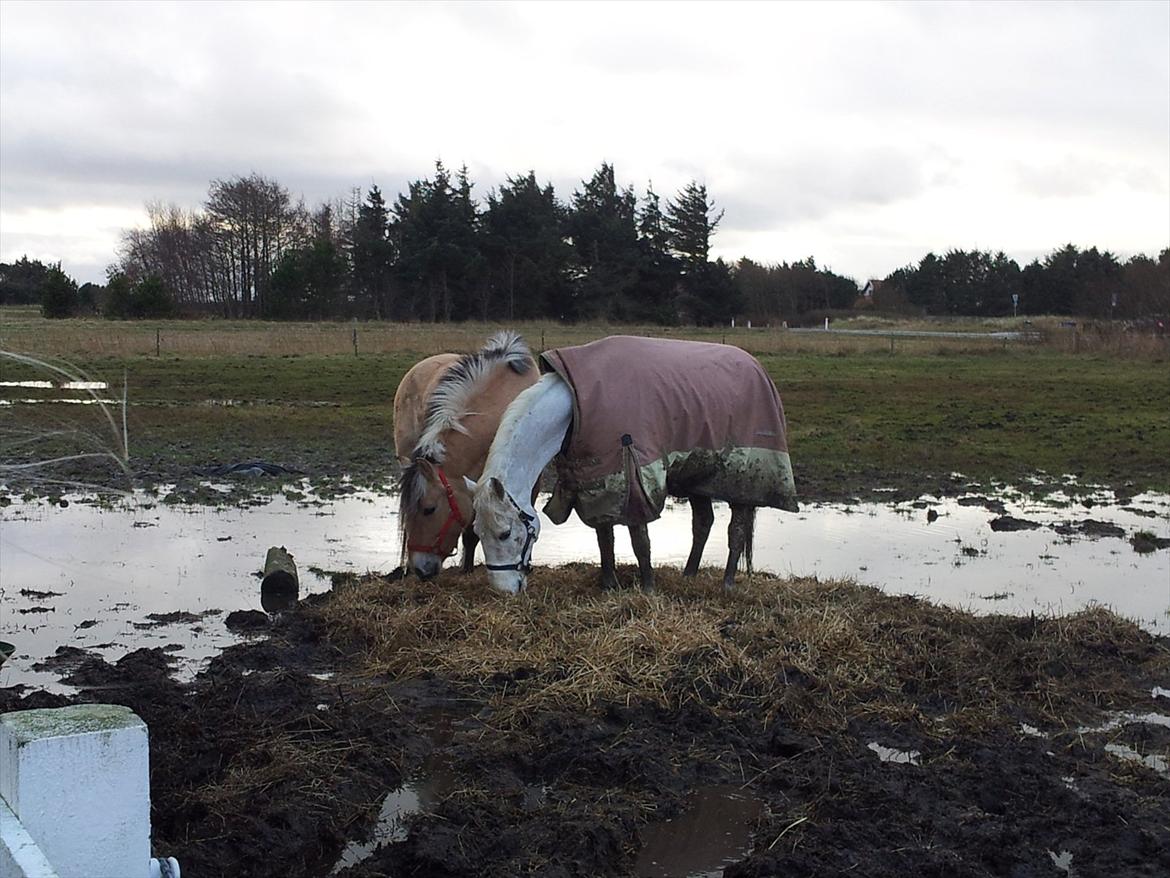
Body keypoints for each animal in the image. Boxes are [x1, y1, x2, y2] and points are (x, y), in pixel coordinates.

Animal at [460, 332, 800, 594]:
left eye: (505, 533)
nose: (504, 590)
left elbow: (640, 540)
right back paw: (689, 574)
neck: (575, 406)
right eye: (476, 531)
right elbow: (604, 537)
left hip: (741, 479)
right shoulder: (594, 480)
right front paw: (608, 584)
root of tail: (758, 369)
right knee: (703, 523)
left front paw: (647, 588)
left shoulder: (634, 474)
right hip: (698, 477)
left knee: (736, 529)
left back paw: (727, 583)